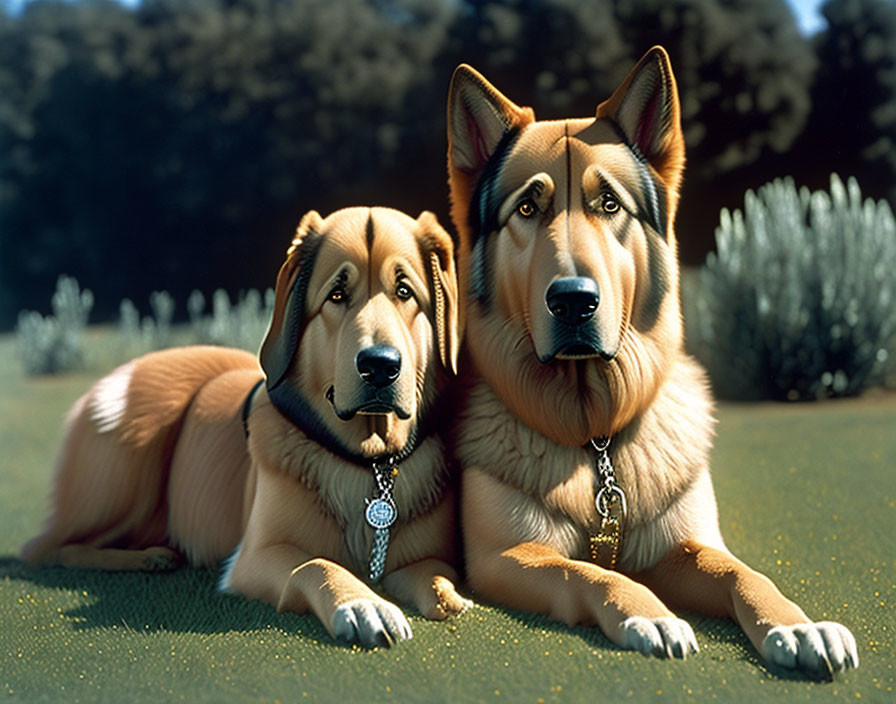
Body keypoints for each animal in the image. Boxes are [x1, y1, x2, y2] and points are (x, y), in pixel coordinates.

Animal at [21, 206, 468, 648]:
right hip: (126, 473)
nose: (379, 365)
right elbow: (315, 563)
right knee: (54, 548)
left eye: (405, 292)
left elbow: (432, 572)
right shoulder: (255, 557)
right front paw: (363, 605)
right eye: (336, 295)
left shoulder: (419, 556)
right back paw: (147, 557)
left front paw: (450, 596)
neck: (368, 461)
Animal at [448, 46, 860, 672]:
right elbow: (587, 573)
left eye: (610, 203)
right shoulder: (507, 556)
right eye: (527, 208)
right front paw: (650, 614)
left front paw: (798, 625)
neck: (596, 434)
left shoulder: (685, 547)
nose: (574, 300)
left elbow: (745, 574)